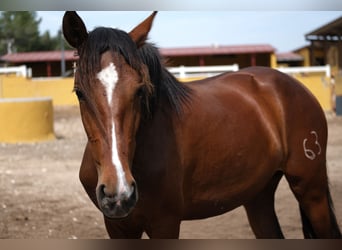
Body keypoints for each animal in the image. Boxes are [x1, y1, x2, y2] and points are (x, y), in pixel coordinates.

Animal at [62, 11, 340, 238]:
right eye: (79, 92)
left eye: (140, 91)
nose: (118, 193)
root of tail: (295, 86)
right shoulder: (118, 226)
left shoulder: (165, 223)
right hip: (258, 195)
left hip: (311, 189)